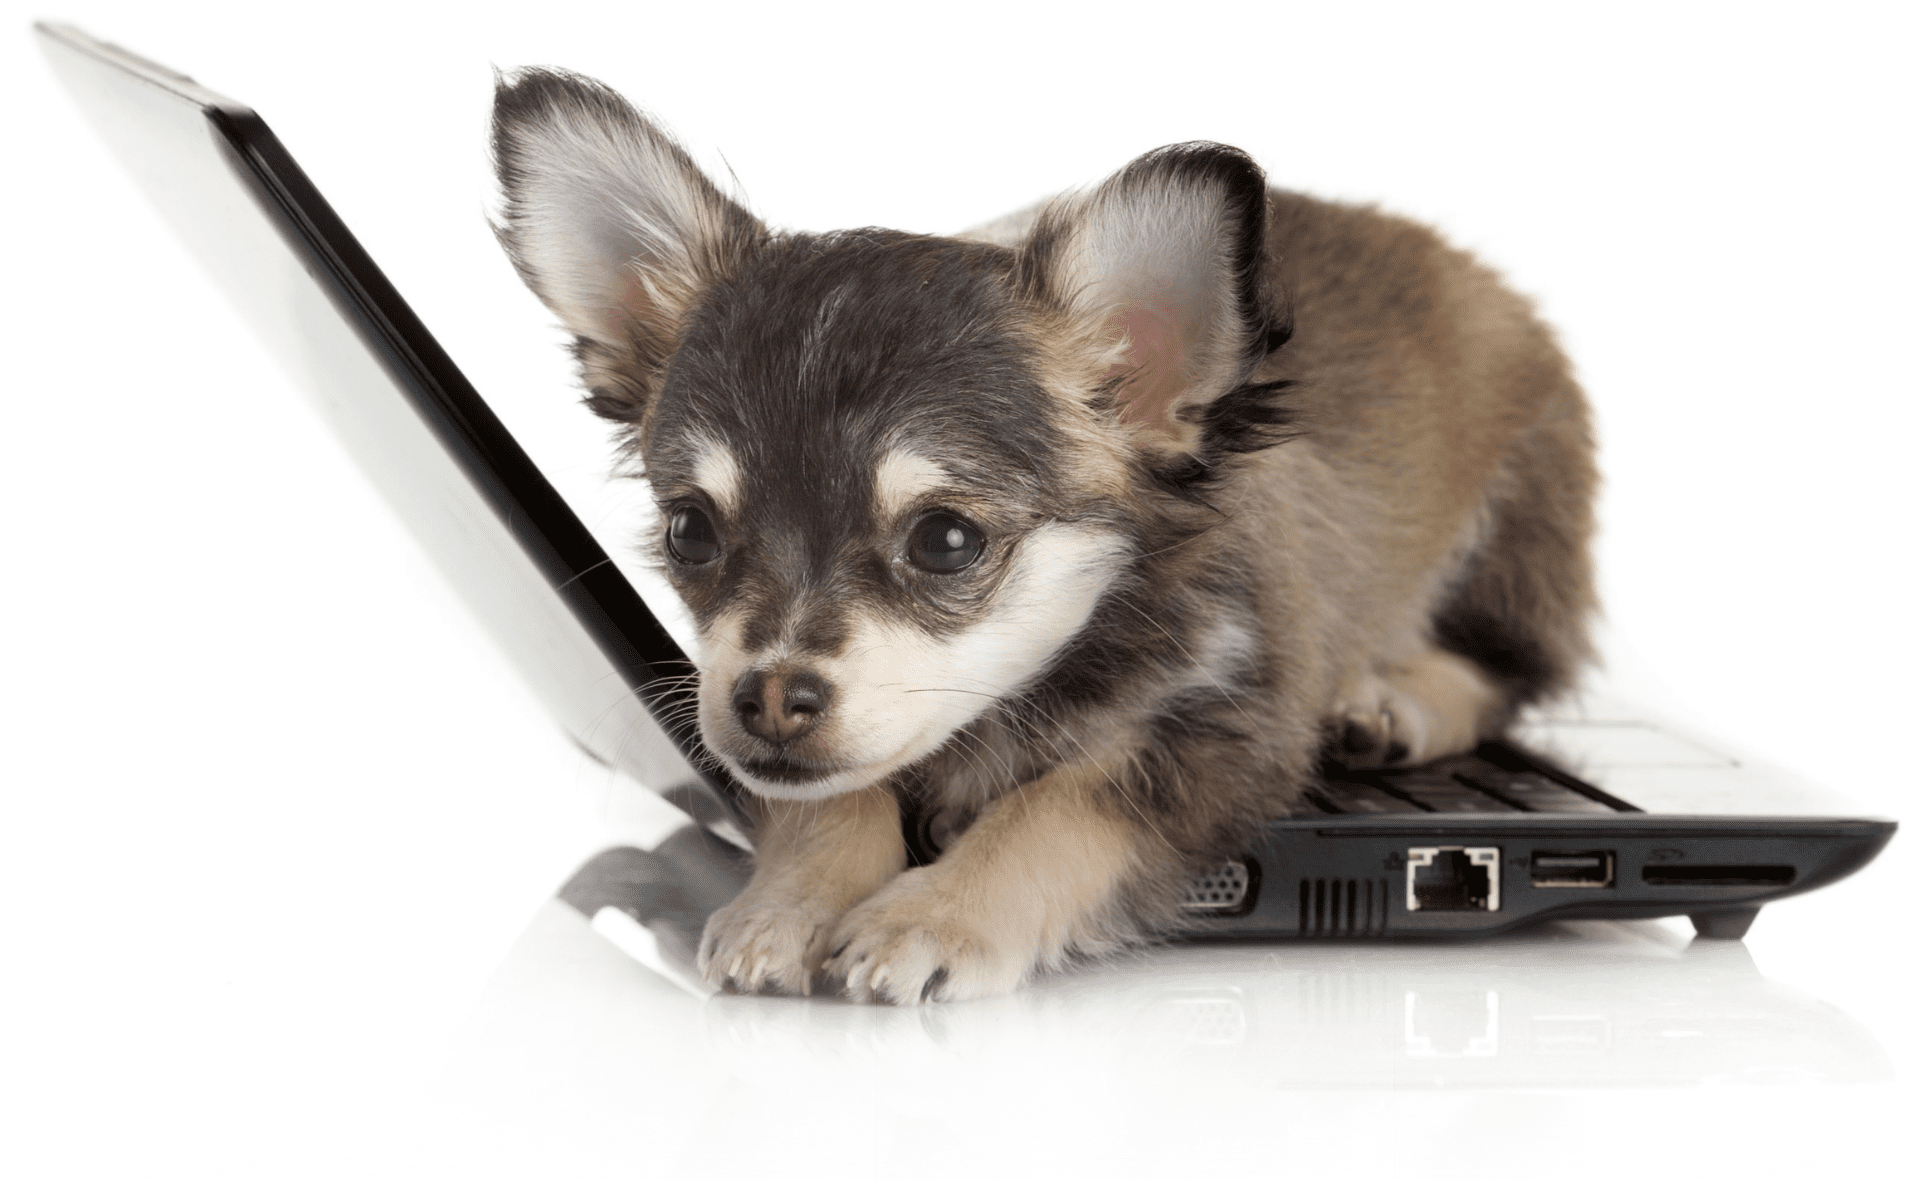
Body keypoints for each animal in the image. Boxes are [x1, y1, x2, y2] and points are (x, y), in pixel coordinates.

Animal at [489, 66, 1598, 1002]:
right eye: (689, 531)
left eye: (945, 541)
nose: (763, 697)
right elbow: (827, 792)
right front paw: (791, 900)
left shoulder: (1225, 728)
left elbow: (1056, 808)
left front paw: (933, 917)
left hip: (1516, 525)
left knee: (1504, 666)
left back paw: (1389, 704)